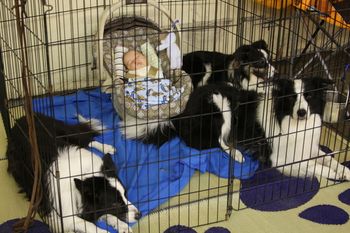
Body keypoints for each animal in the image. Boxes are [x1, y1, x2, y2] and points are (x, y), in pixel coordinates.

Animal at [6, 113, 141, 233]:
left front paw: (122, 226)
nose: (139, 215)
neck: (84, 174)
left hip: (66, 132)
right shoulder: (64, 217)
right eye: (114, 204)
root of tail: (20, 119)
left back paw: (106, 148)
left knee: (86, 139)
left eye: (125, 194)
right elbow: (91, 224)